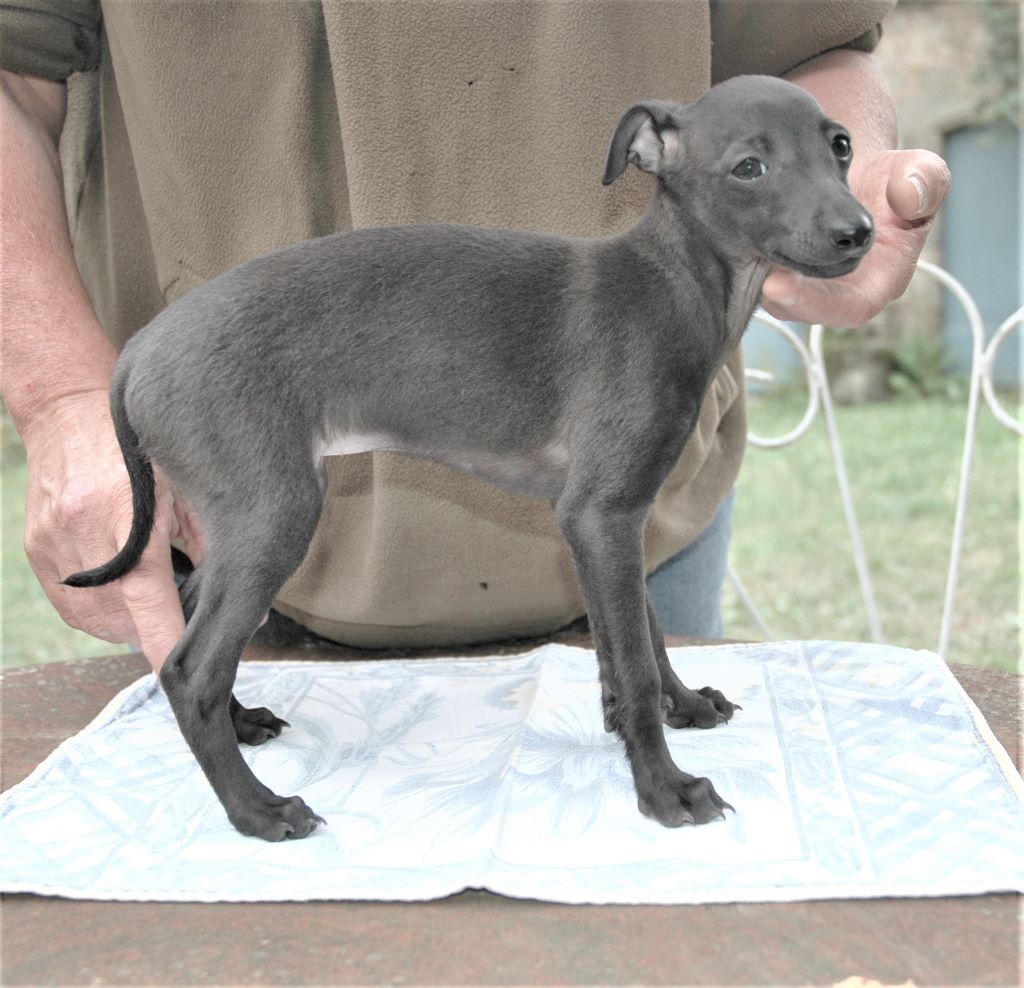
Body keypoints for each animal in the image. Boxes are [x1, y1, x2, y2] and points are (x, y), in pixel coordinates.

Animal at [64, 75, 868, 839]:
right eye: (749, 167)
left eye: (842, 145)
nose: (858, 232)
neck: (672, 287)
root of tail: (136, 352)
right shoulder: (600, 513)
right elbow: (635, 662)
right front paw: (665, 788)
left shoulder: (613, 516)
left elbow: (642, 634)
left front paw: (682, 705)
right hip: (274, 513)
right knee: (188, 668)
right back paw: (258, 811)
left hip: (236, 520)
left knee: (190, 611)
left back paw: (242, 724)